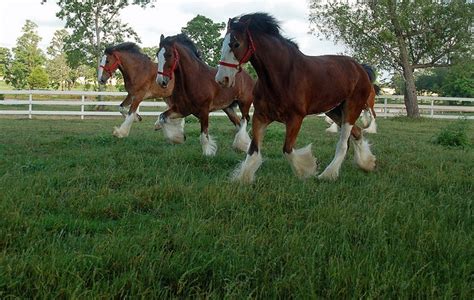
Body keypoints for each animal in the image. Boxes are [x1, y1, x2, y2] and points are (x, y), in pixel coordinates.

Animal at [217, 12, 376, 182]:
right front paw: (243, 178)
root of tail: (361, 69)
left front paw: (307, 170)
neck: (282, 76)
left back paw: (328, 174)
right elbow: (253, 149)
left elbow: (287, 149)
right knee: (358, 132)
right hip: (334, 111)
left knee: (343, 144)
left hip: (352, 108)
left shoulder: (295, 118)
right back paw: (367, 163)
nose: (222, 79)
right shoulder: (260, 116)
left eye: (236, 44)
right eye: (223, 43)